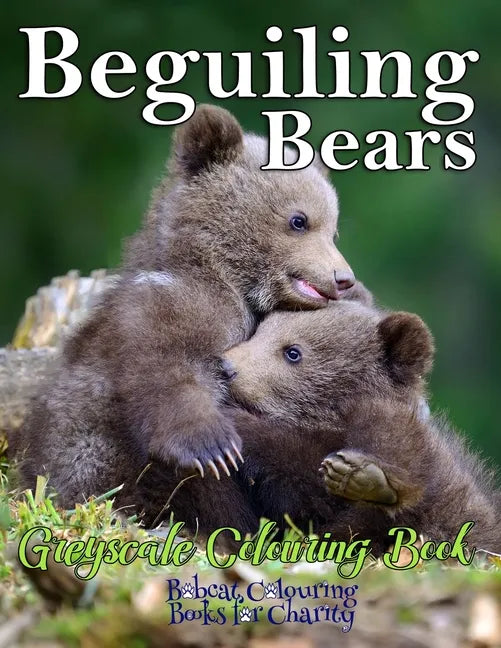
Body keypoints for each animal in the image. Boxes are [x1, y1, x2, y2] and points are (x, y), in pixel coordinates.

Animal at [17, 104, 355, 511]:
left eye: (334, 231)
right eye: (299, 220)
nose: (343, 278)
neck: (226, 276)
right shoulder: (167, 309)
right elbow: (168, 367)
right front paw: (212, 447)